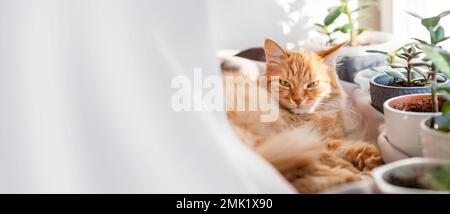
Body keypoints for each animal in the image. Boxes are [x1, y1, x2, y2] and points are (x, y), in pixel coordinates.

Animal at [223, 38, 382, 194]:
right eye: (284, 83)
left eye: (312, 84)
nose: (298, 100)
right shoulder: (316, 141)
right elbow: (341, 156)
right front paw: (366, 167)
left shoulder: (328, 139)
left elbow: (352, 147)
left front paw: (373, 159)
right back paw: (360, 178)